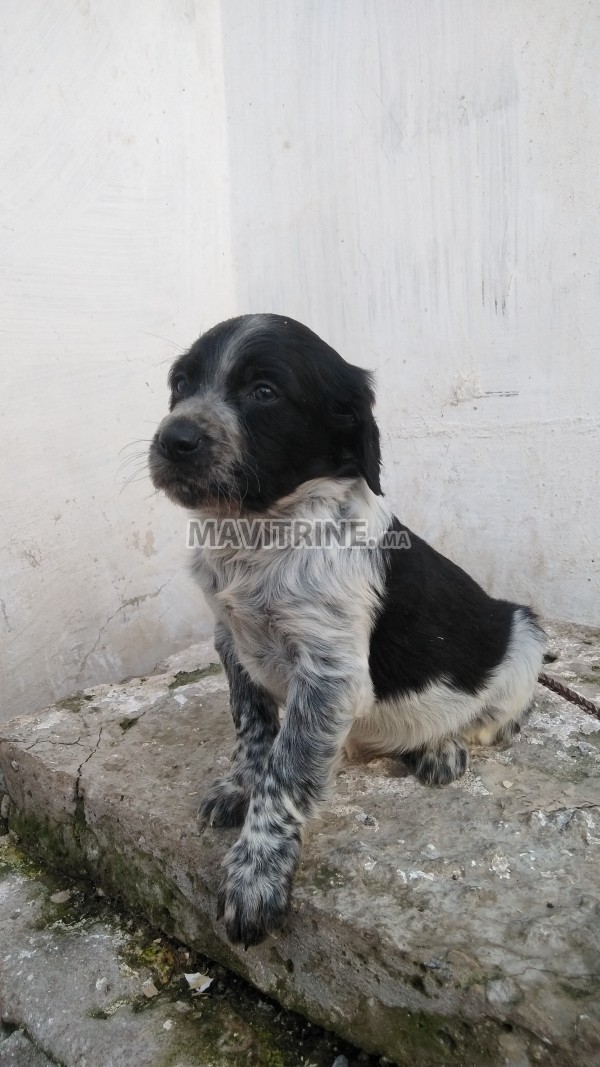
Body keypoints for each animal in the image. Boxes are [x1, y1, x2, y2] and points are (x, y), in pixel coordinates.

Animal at [147, 311, 544, 947]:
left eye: (265, 392)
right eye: (180, 385)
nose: (173, 440)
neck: (259, 533)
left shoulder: (327, 674)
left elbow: (285, 774)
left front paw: (256, 875)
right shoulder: (231, 641)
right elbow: (253, 730)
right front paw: (239, 786)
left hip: (521, 637)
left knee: (489, 719)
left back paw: (442, 744)